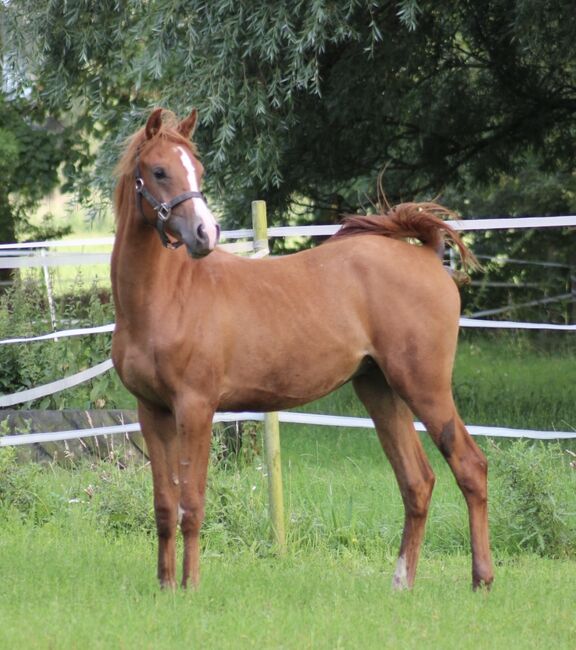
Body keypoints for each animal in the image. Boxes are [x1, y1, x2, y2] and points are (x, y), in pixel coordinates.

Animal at [111, 109, 496, 588]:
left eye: (198, 170)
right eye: (160, 171)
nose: (205, 233)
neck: (166, 296)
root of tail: (425, 256)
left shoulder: (195, 409)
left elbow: (192, 505)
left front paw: (191, 587)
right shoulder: (152, 411)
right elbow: (165, 506)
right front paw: (166, 588)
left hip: (424, 387)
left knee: (469, 466)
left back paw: (481, 580)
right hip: (380, 389)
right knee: (417, 481)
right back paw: (401, 583)